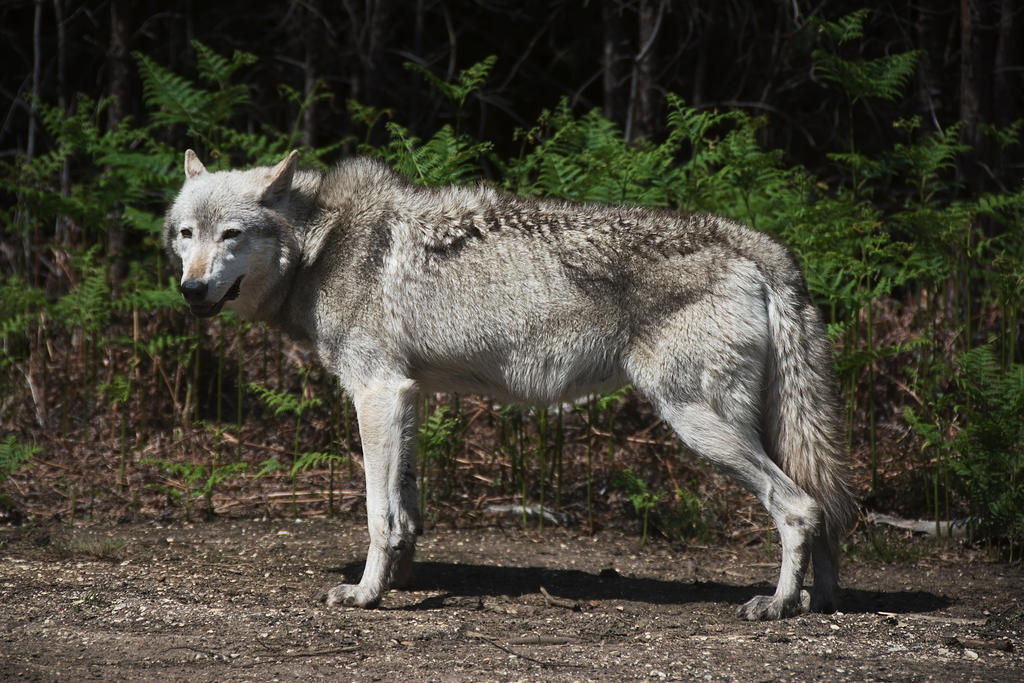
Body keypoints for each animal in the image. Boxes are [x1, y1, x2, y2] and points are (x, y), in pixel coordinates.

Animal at [163, 149, 856, 620]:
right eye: (186, 234)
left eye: (232, 235)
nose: (191, 290)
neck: (321, 243)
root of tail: (760, 245)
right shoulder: (407, 396)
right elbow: (406, 511)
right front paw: (399, 582)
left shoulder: (377, 393)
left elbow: (377, 513)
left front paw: (365, 594)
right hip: (756, 427)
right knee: (822, 509)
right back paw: (817, 601)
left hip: (697, 423)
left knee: (800, 507)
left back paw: (775, 605)